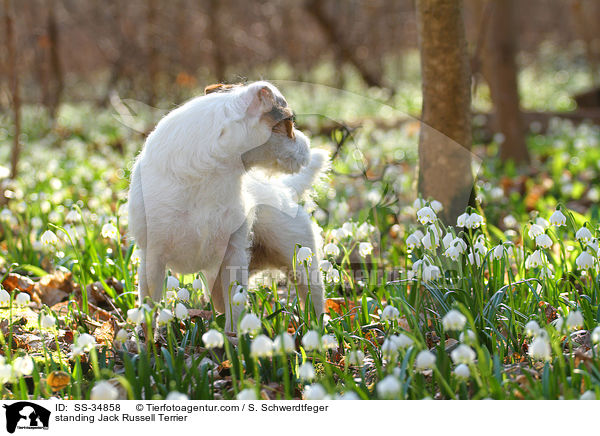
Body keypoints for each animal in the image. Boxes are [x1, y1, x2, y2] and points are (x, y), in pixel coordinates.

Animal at [127, 82, 328, 332]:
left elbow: (236, 306)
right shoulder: (152, 258)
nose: (308, 145)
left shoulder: (233, 255)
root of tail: (285, 190)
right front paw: (144, 341)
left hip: (299, 259)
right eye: (289, 122)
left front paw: (234, 339)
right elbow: (148, 308)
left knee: (314, 296)